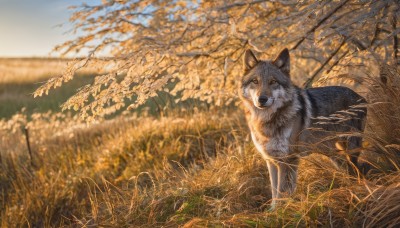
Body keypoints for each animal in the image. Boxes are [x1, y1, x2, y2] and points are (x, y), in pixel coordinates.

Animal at [239, 48, 368, 208]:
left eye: (273, 82)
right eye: (255, 81)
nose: (262, 99)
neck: (266, 121)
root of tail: (361, 97)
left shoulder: (288, 160)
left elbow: (281, 192)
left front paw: (279, 211)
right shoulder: (272, 160)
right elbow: (275, 192)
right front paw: (272, 210)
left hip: (350, 150)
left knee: (358, 171)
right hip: (334, 154)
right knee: (351, 171)